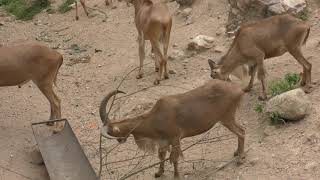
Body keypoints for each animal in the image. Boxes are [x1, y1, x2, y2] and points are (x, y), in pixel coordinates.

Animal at [100, 80, 245, 179]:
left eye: (111, 132)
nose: (120, 140)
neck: (154, 118)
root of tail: (239, 90)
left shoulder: (175, 138)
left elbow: (174, 158)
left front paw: (176, 176)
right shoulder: (163, 141)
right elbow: (162, 156)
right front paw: (159, 173)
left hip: (227, 118)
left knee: (241, 132)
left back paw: (240, 159)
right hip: (228, 118)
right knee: (241, 131)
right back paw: (237, 153)